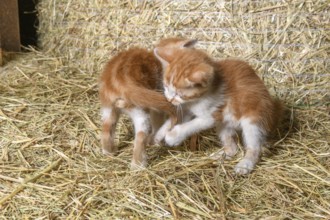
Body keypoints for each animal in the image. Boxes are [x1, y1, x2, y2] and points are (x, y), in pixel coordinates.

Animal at [99, 39, 195, 170]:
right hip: (140, 110)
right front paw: (155, 141)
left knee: (107, 126)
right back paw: (138, 166)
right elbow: (158, 123)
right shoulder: (157, 105)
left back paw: (109, 152)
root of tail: (122, 83)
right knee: (140, 135)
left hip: (109, 107)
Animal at [153, 38, 282, 174]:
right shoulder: (187, 108)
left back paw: (245, 165)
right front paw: (159, 135)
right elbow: (175, 119)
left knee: (255, 147)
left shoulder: (211, 115)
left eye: (179, 94)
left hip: (254, 119)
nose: (169, 99)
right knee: (233, 148)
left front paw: (173, 137)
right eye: (166, 86)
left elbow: (190, 125)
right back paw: (219, 156)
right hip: (224, 125)